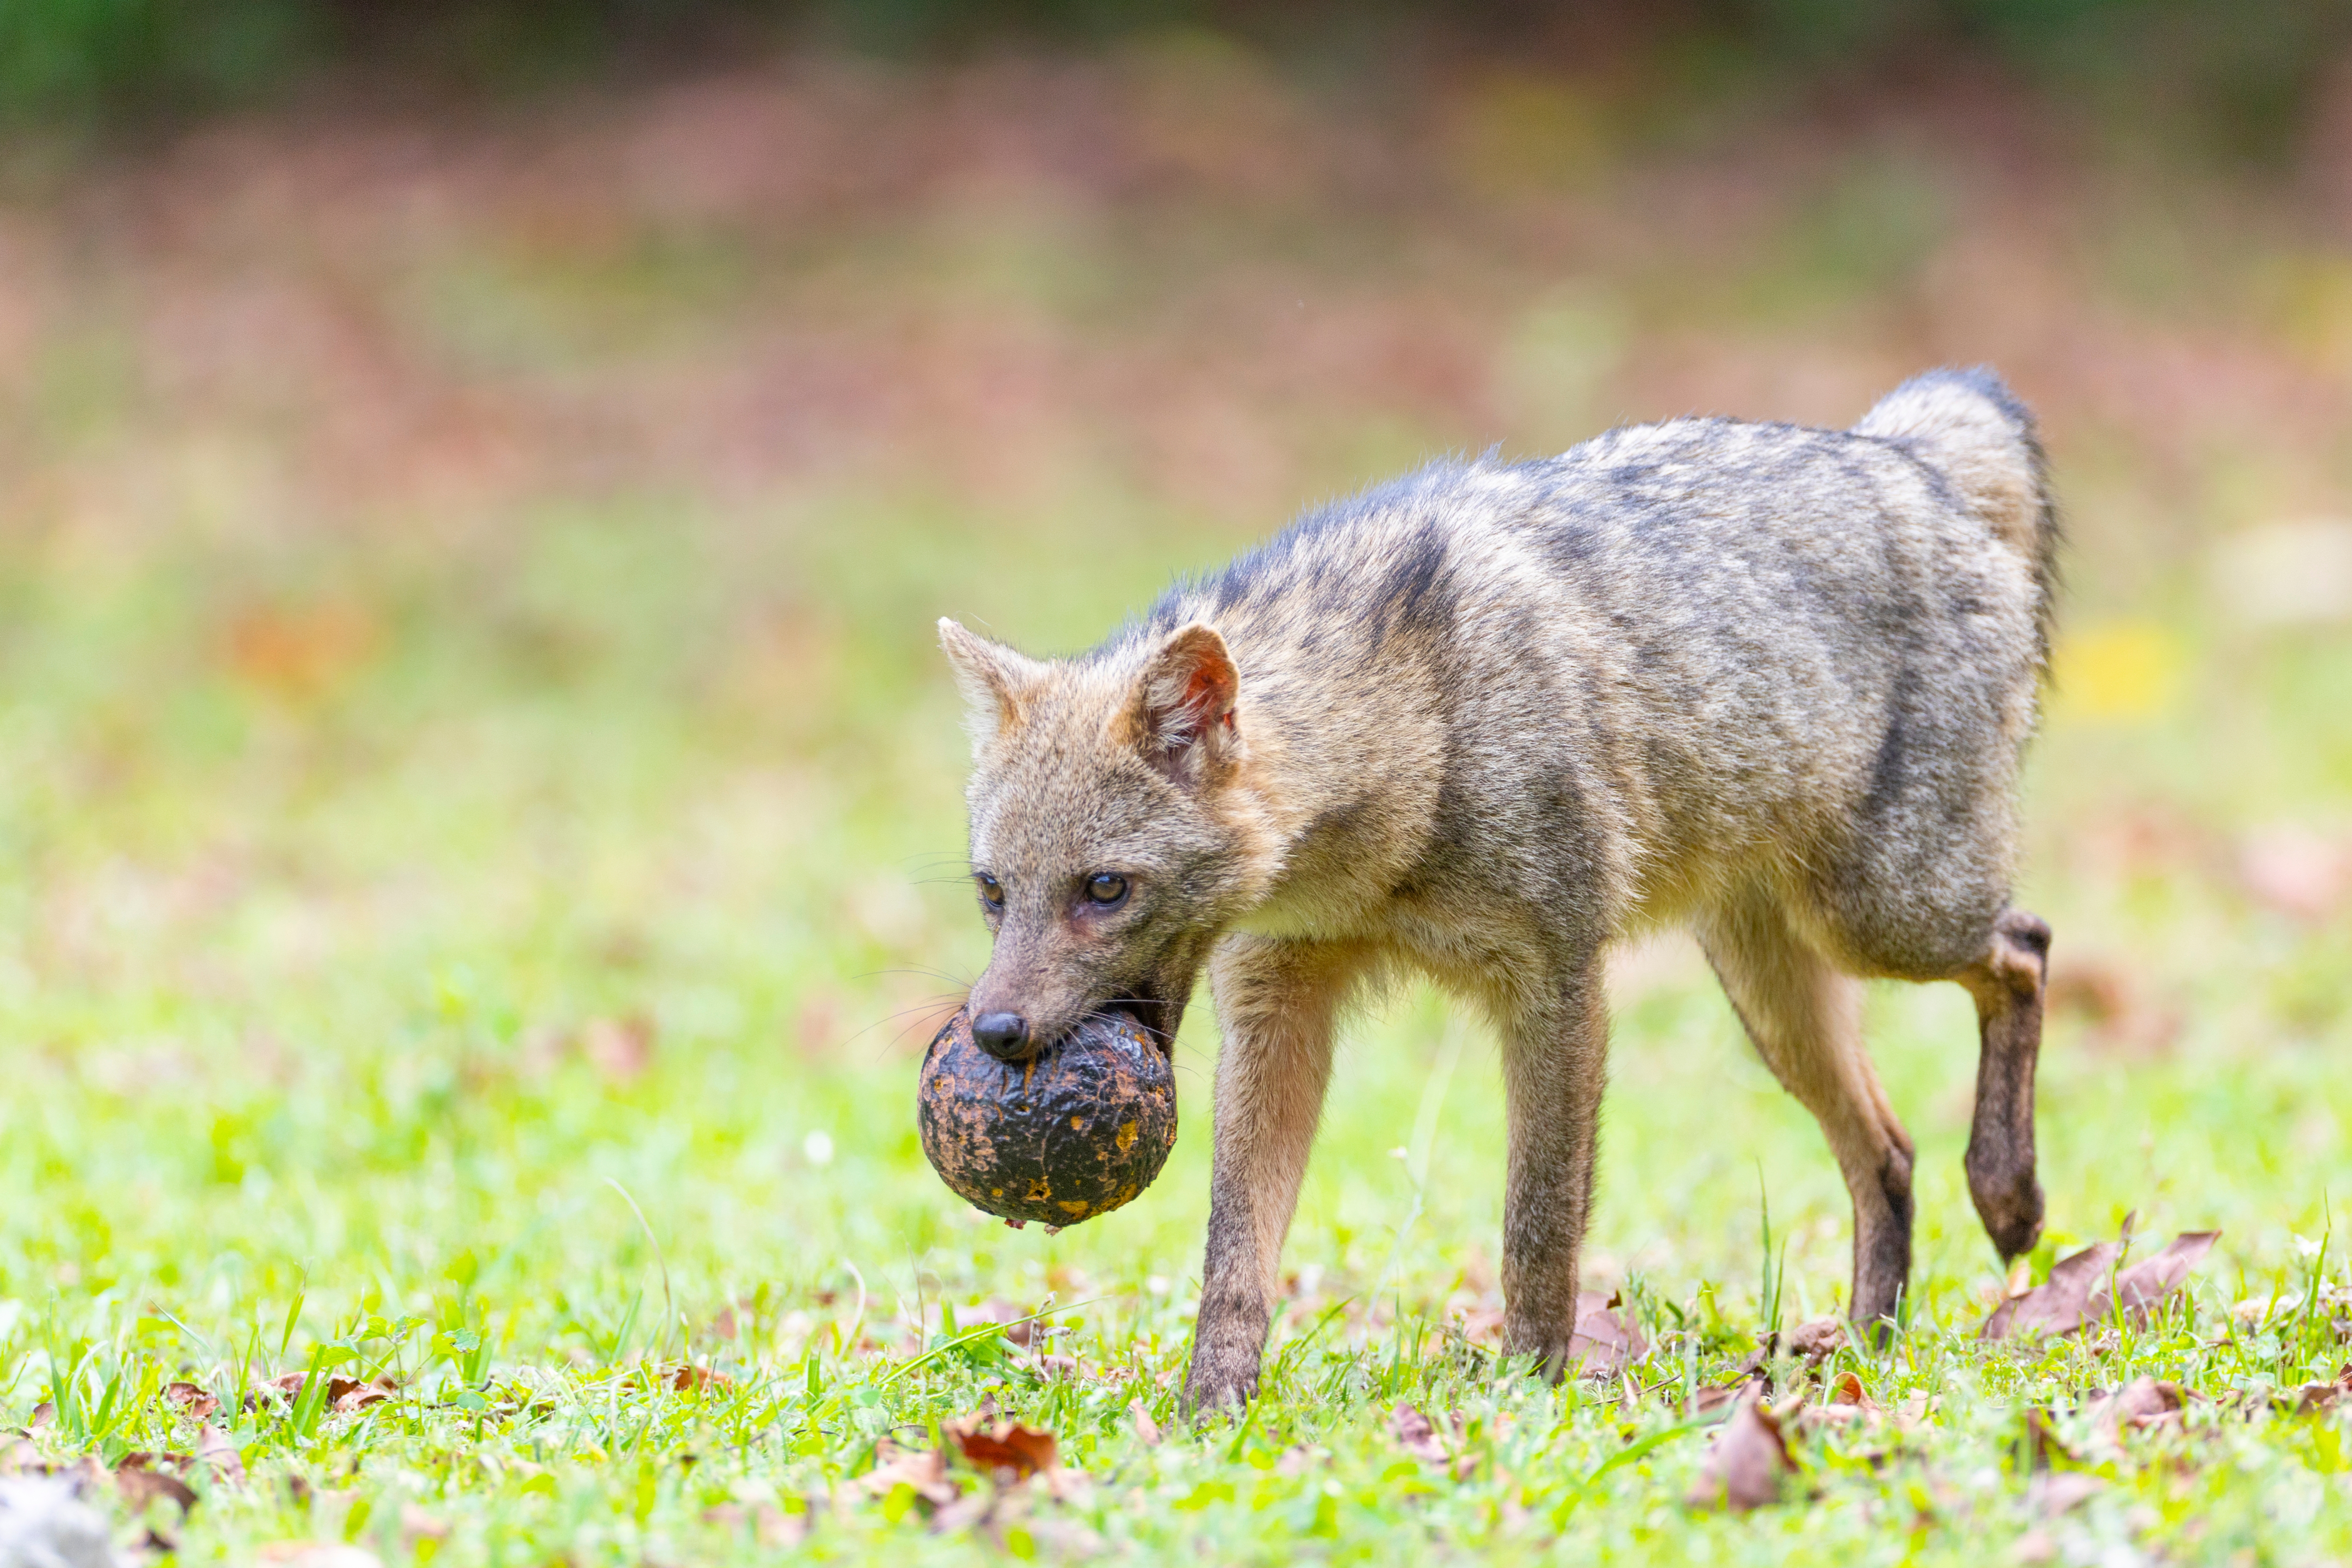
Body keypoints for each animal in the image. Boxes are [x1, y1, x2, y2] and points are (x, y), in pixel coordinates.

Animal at [938, 367, 2058, 1414]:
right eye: (993, 892)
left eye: (1104, 889)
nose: (992, 1032)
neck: (1412, 735)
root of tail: (1903, 456)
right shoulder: (1276, 1012)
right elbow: (1234, 1252)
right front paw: (1211, 1409)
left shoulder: (1558, 986)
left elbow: (1537, 1225)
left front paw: (1529, 1386)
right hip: (1778, 995)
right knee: (1891, 1151)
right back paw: (1867, 1347)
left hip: (1887, 920)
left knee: (2026, 949)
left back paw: (2007, 1199)